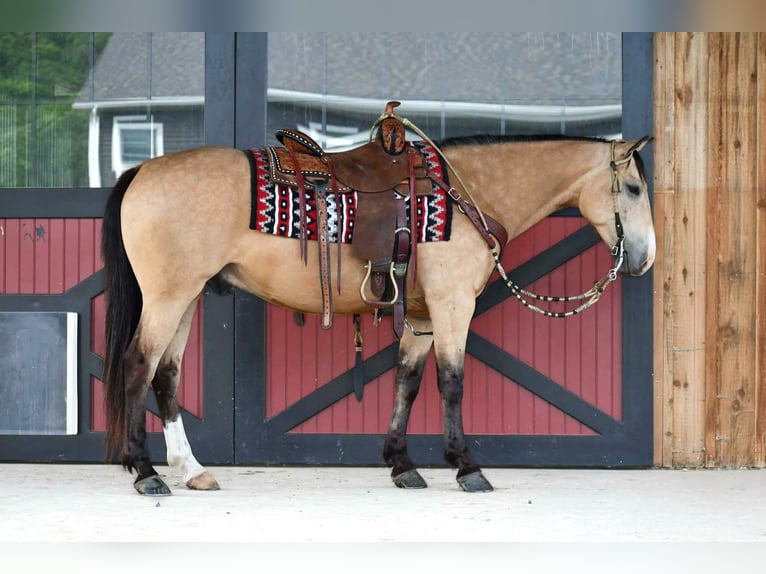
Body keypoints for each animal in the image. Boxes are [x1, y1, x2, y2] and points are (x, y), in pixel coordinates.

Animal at [101, 115, 655, 496]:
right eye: (632, 188)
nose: (644, 259)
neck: (465, 194)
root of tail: (143, 169)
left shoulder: (422, 315)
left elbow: (407, 380)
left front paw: (401, 464)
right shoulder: (453, 307)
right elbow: (451, 383)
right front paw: (467, 467)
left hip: (187, 296)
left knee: (166, 374)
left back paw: (191, 470)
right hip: (168, 296)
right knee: (138, 366)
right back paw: (146, 472)